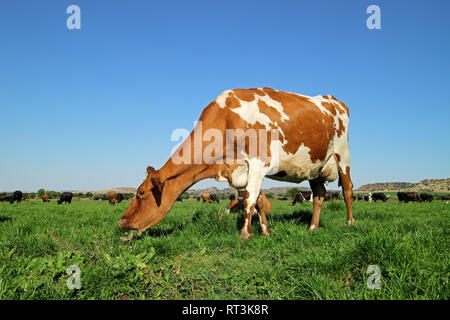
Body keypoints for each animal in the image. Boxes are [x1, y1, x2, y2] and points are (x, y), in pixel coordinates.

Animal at [118, 86, 356, 239]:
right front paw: (265, 232)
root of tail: (334, 100)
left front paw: (244, 234)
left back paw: (350, 222)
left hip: (342, 155)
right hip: (314, 166)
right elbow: (257, 201)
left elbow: (250, 200)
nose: (121, 222)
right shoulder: (244, 170)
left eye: (141, 193)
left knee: (347, 189)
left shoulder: (258, 163)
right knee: (319, 194)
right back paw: (313, 227)